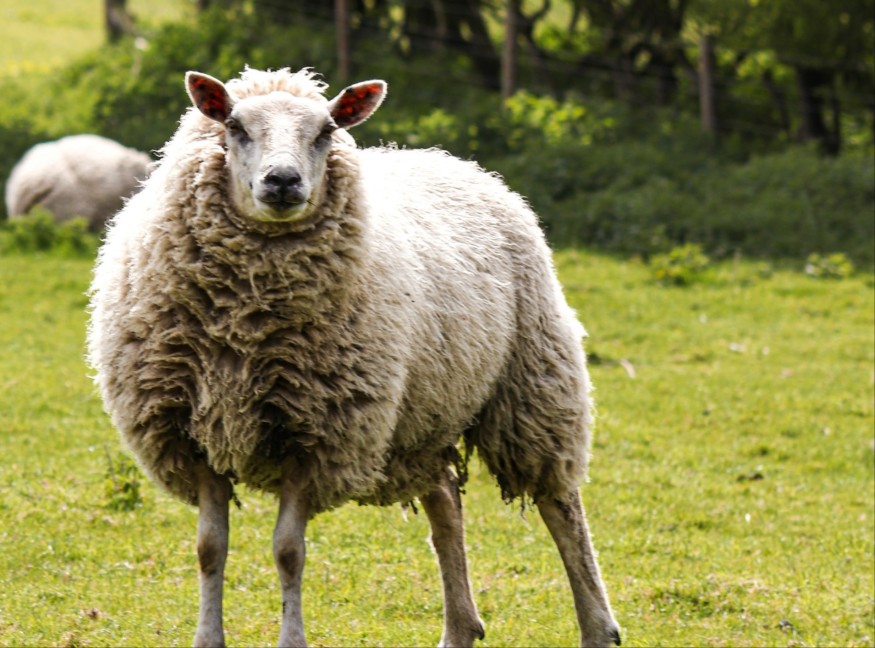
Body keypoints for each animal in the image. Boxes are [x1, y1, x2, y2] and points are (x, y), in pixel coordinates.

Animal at [86, 66, 621, 648]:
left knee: (561, 507)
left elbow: (288, 552)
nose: (282, 181)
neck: (244, 324)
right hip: (425, 414)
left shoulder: (317, 434)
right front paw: (208, 638)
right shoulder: (193, 433)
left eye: (325, 131)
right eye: (234, 126)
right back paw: (460, 627)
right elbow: (209, 549)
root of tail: (455, 161)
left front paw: (292, 640)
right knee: (446, 509)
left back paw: (598, 626)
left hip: (533, 381)